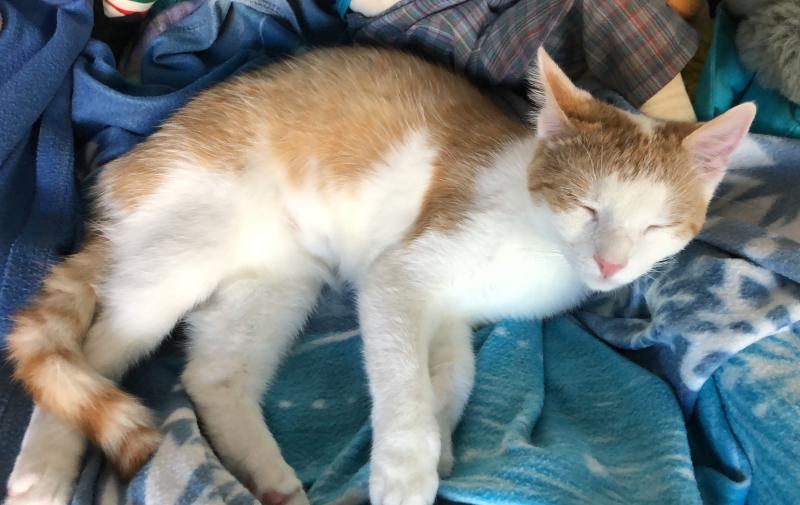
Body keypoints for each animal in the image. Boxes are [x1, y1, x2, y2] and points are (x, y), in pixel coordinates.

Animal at [4, 46, 755, 505]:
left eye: (657, 225)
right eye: (586, 205)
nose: (609, 262)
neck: (537, 238)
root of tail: (127, 169)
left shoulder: (451, 315)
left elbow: (452, 376)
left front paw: (442, 438)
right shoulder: (399, 275)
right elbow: (402, 381)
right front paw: (405, 467)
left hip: (278, 282)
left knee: (212, 374)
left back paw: (269, 476)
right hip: (184, 249)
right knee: (90, 357)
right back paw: (42, 472)